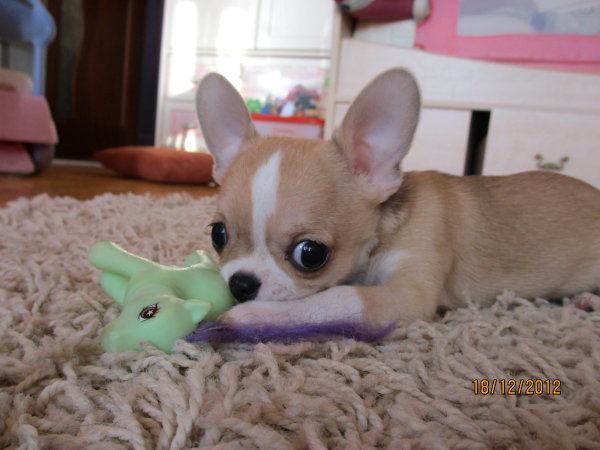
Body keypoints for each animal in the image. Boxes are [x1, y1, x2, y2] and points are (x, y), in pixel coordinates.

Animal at [194, 69, 600, 333]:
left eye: (311, 254)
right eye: (218, 235)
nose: (241, 285)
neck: (384, 235)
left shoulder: (405, 296)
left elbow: (339, 298)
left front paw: (254, 316)